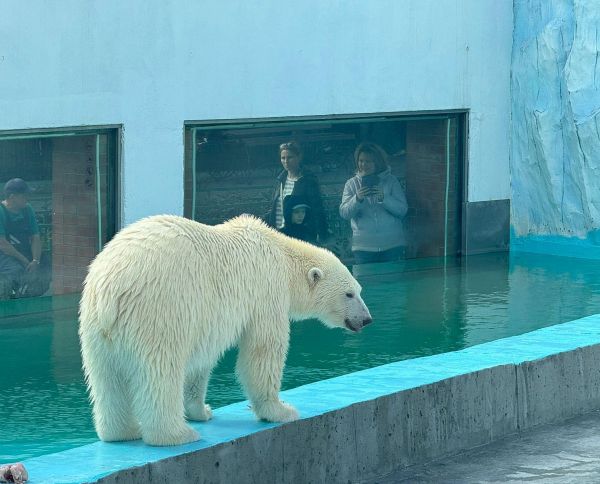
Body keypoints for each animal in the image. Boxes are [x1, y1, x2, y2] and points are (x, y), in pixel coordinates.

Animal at [78, 216, 370, 446]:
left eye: (359, 290)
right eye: (349, 294)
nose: (366, 319)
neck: (279, 252)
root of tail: (111, 288)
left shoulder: (205, 320)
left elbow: (200, 362)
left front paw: (202, 410)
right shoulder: (266, 292)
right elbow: (263, 350)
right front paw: (280, 410)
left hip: (95, 328)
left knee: (106, 378)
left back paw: (122, 432)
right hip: (159, 312)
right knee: (160, 371)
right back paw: (176, 435)